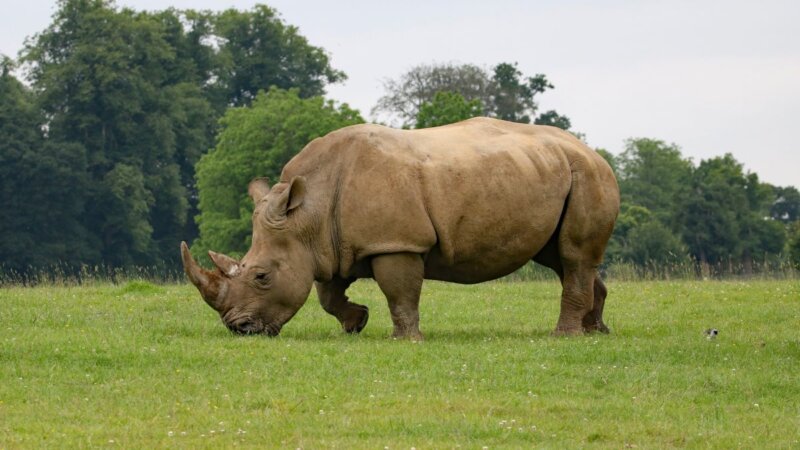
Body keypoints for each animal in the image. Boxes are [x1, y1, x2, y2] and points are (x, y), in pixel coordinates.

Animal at [181, 117, 619, 339]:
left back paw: (564, 336)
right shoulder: (330, 246)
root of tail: (593, 150)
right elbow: (327, 294)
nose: (239, 329)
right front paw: (356, 323)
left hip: (588, 176)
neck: (308, 214)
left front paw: (405, 339)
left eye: (261, 276)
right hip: (552, 172)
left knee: (573, 255)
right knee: (563, 258)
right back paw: (596, 331)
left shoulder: (396, 242)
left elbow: (400, 292)